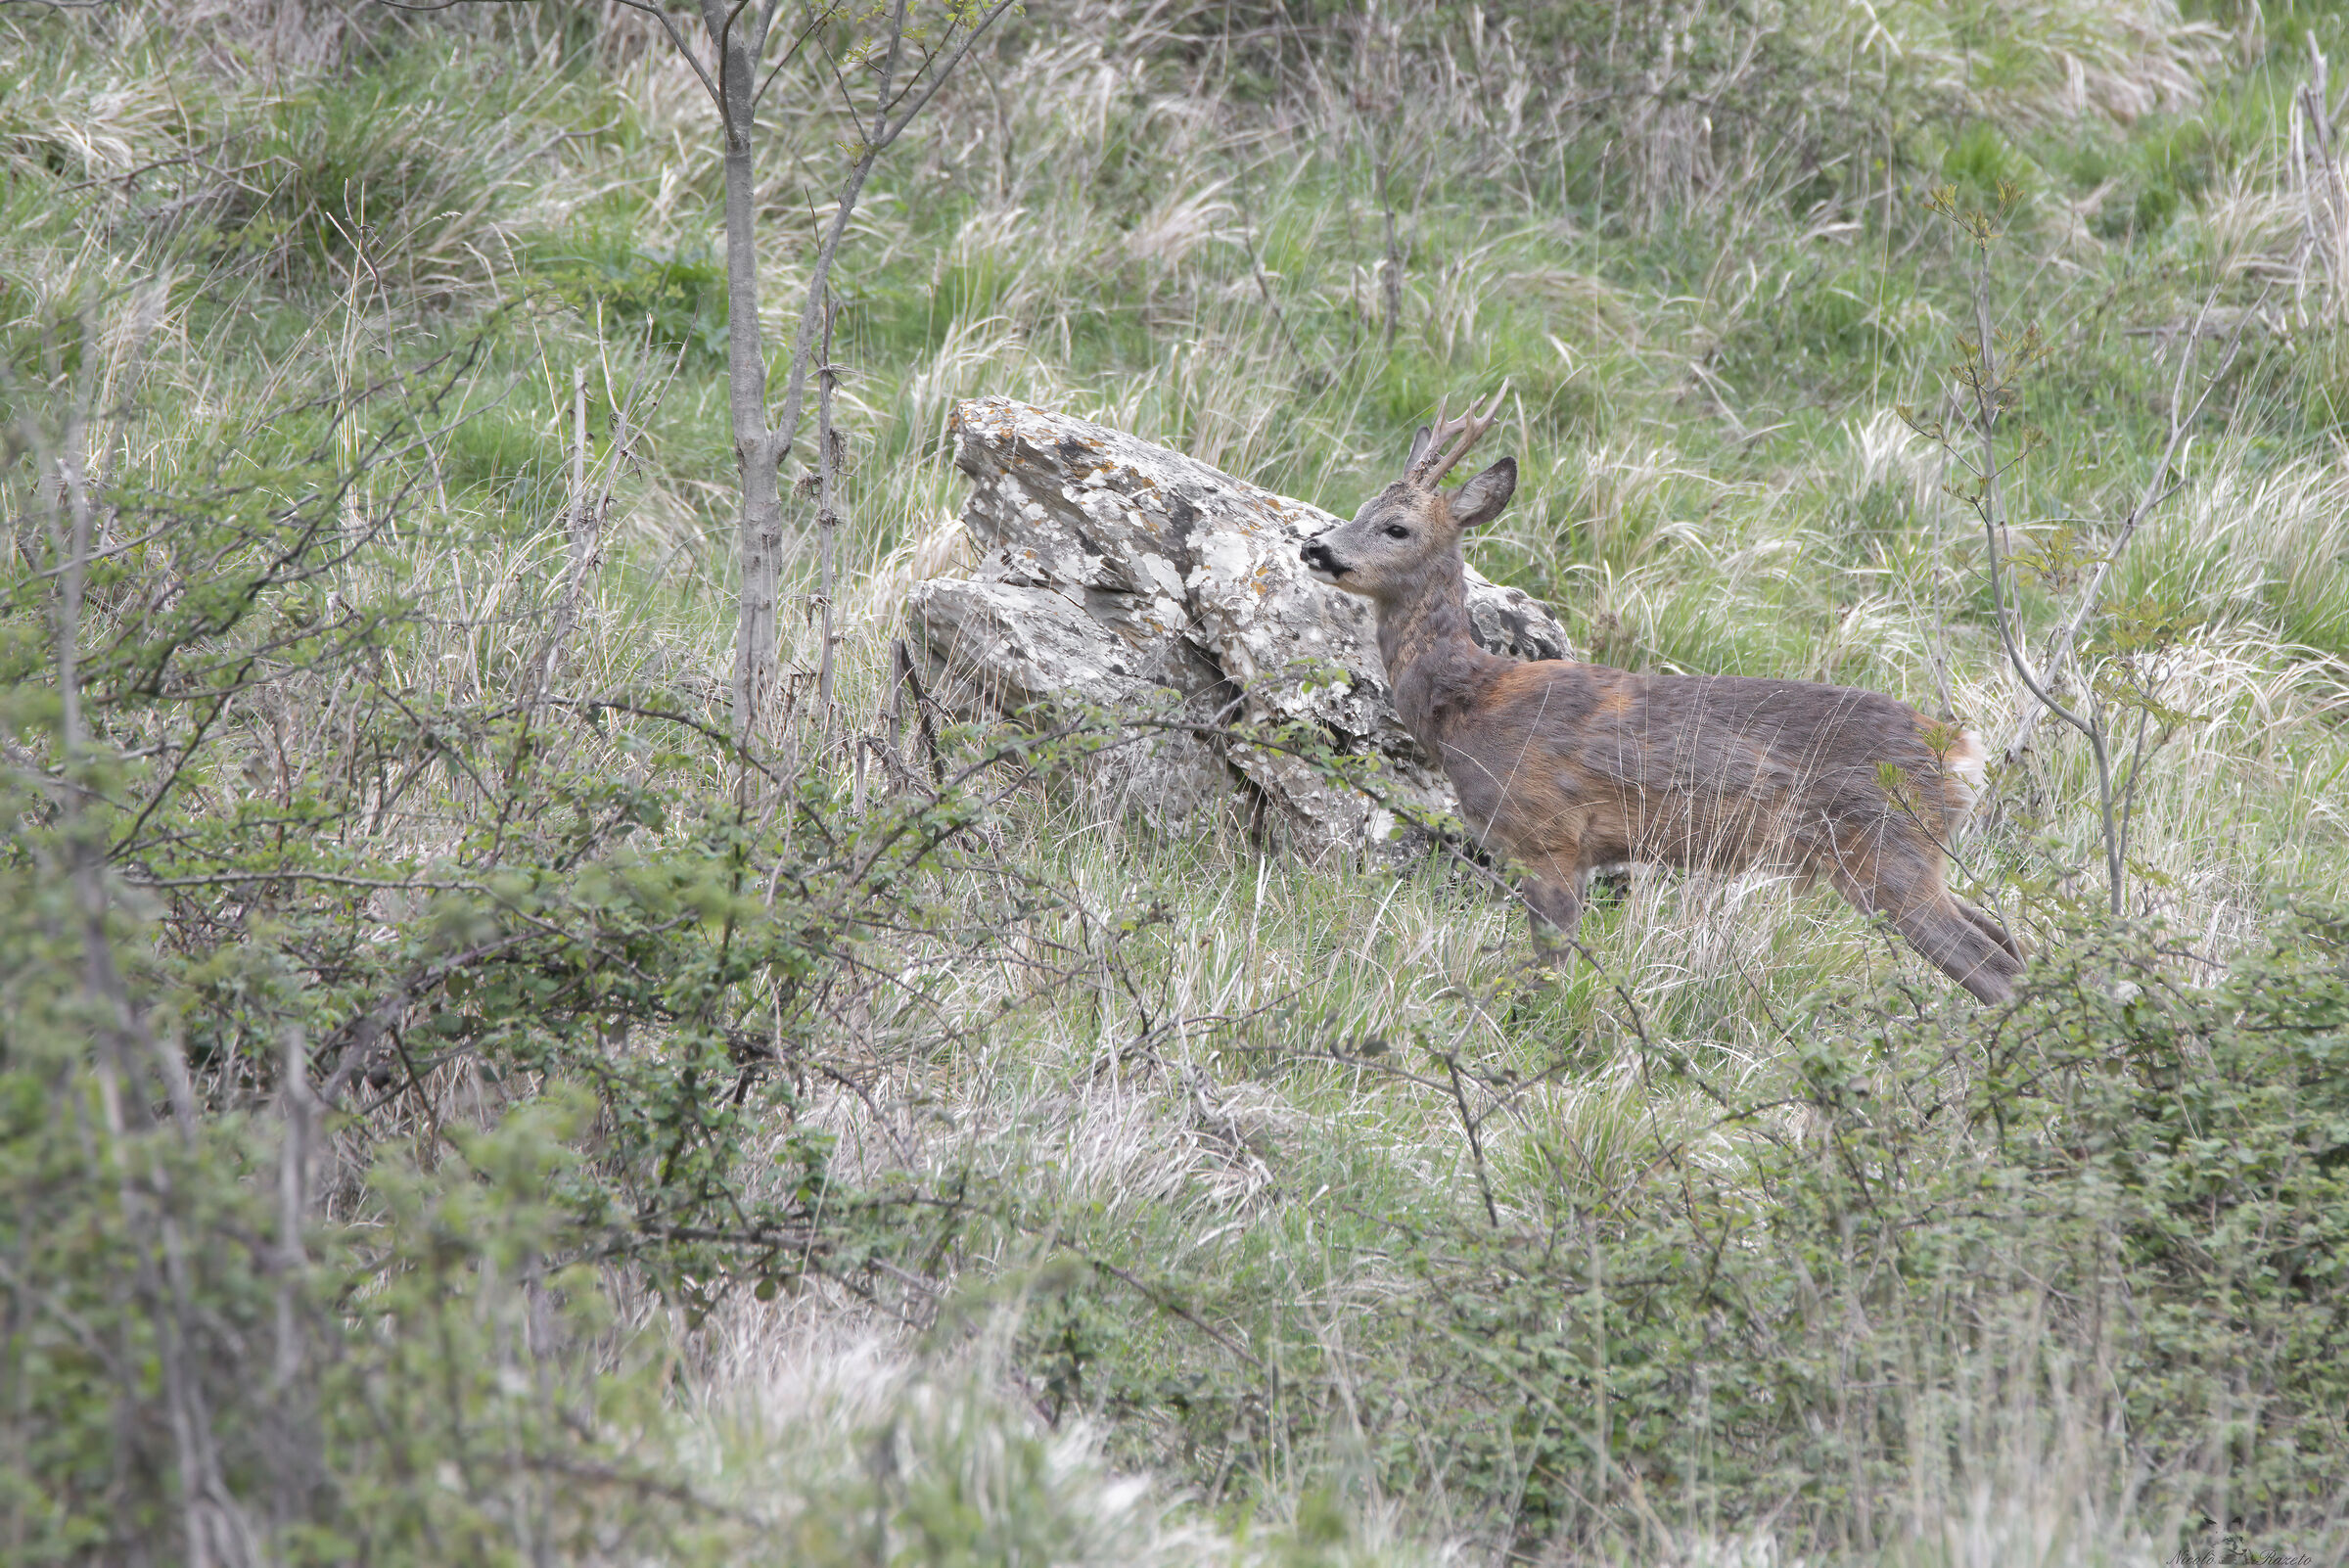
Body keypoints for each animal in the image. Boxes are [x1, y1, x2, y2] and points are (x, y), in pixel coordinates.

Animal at [1298, 390, 2025, 1004]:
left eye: (1396, 527)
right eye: (1359, 509)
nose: (1314, 548)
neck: (1469, 704)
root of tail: (1964, 754)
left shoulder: (1549, 835)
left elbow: (1549, 961)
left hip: (1887, 854)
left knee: (1994, 970)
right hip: (1916, 860)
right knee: (2009, 941)